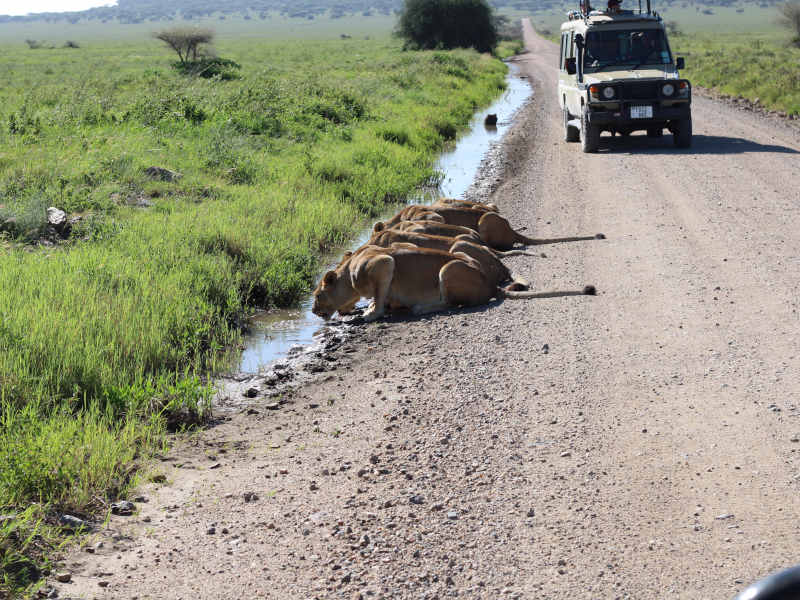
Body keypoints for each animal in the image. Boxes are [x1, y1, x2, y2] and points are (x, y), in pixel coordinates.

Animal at [312, 243, 592, 322]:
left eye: (316, 295)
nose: (313, 311)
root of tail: (491, 284)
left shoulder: (383, 262)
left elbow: (379, 296)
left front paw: (371, 312)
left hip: (448, 268)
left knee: (449, 303)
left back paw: (421, 308)